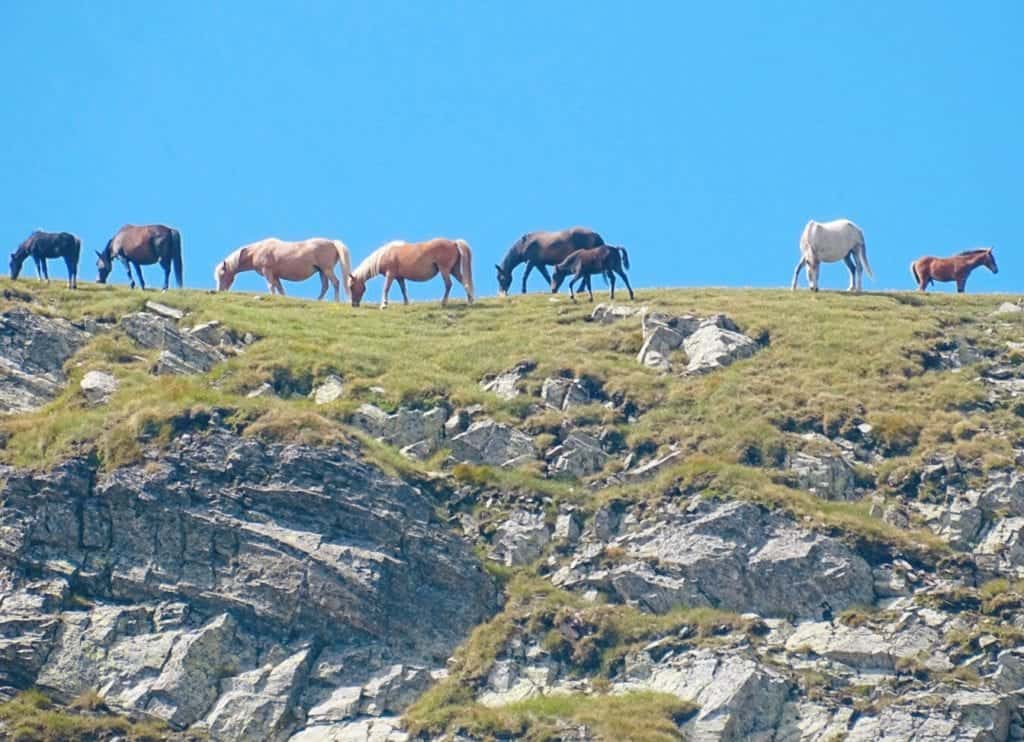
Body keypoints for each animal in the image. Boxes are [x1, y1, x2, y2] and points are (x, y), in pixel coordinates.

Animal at [215, 238, 352, 300]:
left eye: (222, 275)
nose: (219, 290)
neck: (257, 251)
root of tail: (332, 242)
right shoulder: (276, 275)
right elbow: (280, 289)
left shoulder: (268, 272)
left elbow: (271, 286)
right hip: (321, 271)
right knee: (325, 286)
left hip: (327, 269)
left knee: (336, 283)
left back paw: (336, 301)